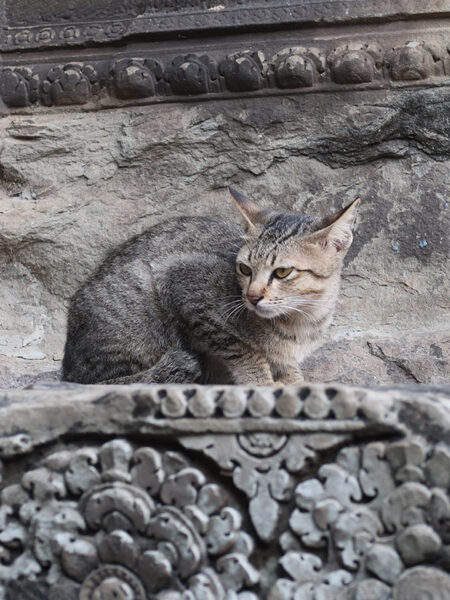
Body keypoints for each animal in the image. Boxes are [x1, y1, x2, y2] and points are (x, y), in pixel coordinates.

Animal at [61, 188, 360, 384]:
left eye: (282, 272)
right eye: (245, 269)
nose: (252, 296)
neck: (302, 321)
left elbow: (288, 371)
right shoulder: (181, 281)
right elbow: (246, 352)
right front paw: (262, 383)